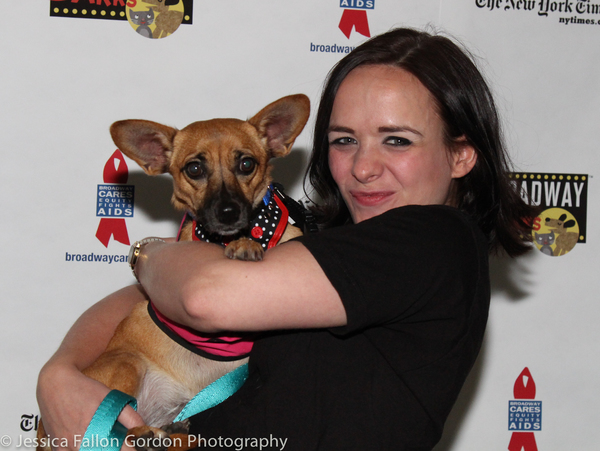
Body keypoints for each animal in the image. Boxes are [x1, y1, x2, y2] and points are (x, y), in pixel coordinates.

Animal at [38, 93, 310, 450]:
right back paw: (147, 435)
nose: (227, 212)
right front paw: (242, 245)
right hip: (126, 364)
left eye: (247, 164)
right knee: (124, 425)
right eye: (194, 168)